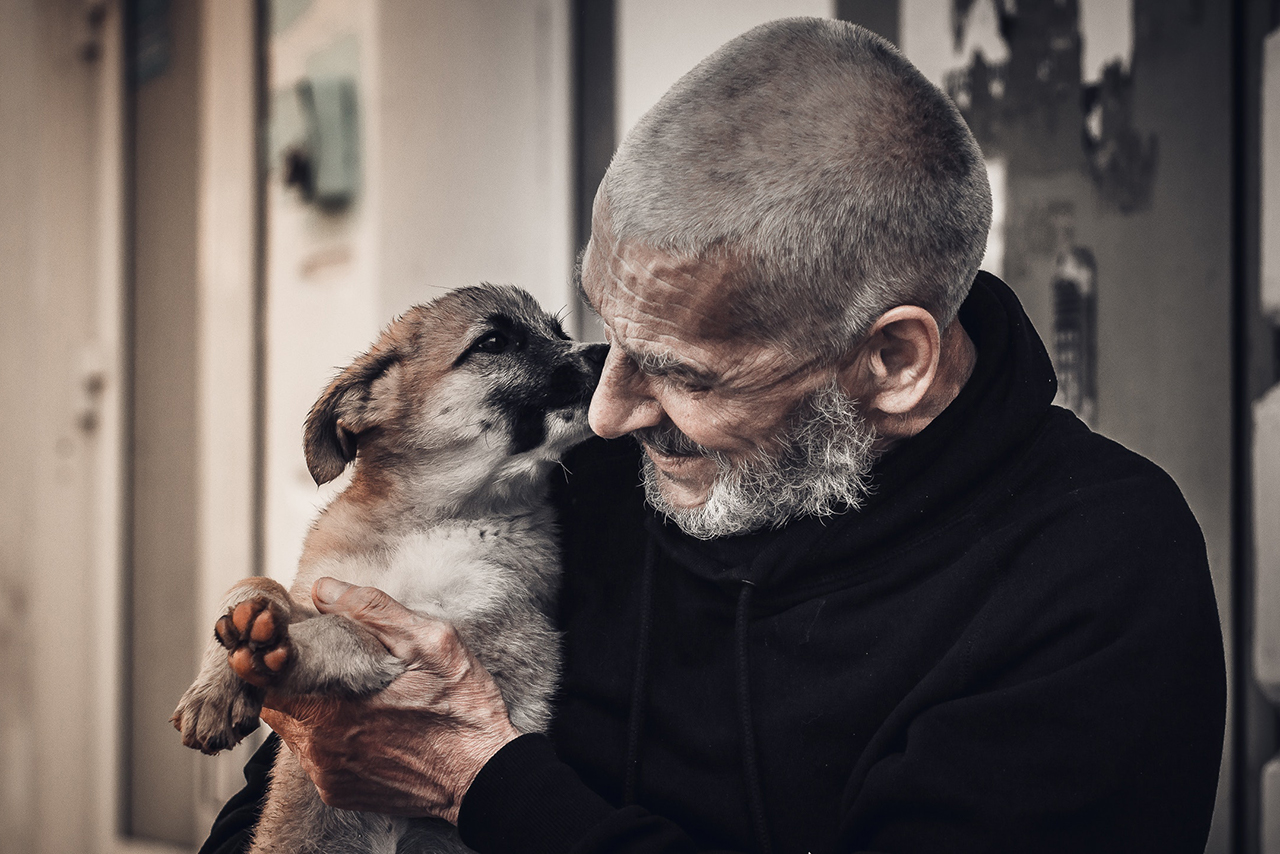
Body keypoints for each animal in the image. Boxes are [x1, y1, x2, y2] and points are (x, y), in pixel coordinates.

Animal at [170, 284, 604, 850]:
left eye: (560, 333)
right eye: (493, 342)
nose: (605, 353)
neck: (426, 522)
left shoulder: (451, 635)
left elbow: (344, 629)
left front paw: (273, 643)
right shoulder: (320, 586)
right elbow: (255, 583)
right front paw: (215, 689)